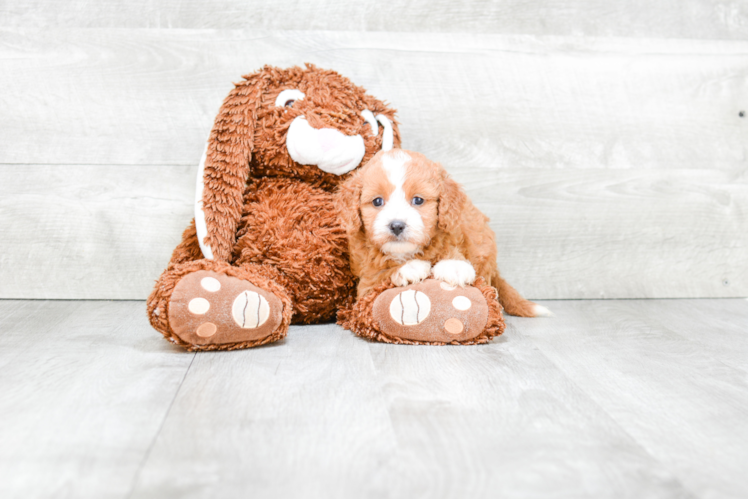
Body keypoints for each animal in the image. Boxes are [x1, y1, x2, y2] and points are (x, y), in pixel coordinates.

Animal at [338, 149, 548, 320]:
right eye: (377, 201)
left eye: (418, 200)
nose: (397, 225)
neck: (406, 252)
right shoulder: (365, 283)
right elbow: (380, 274)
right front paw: (408, 268)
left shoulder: (452, 233)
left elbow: (450, 250)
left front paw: (454, 267)